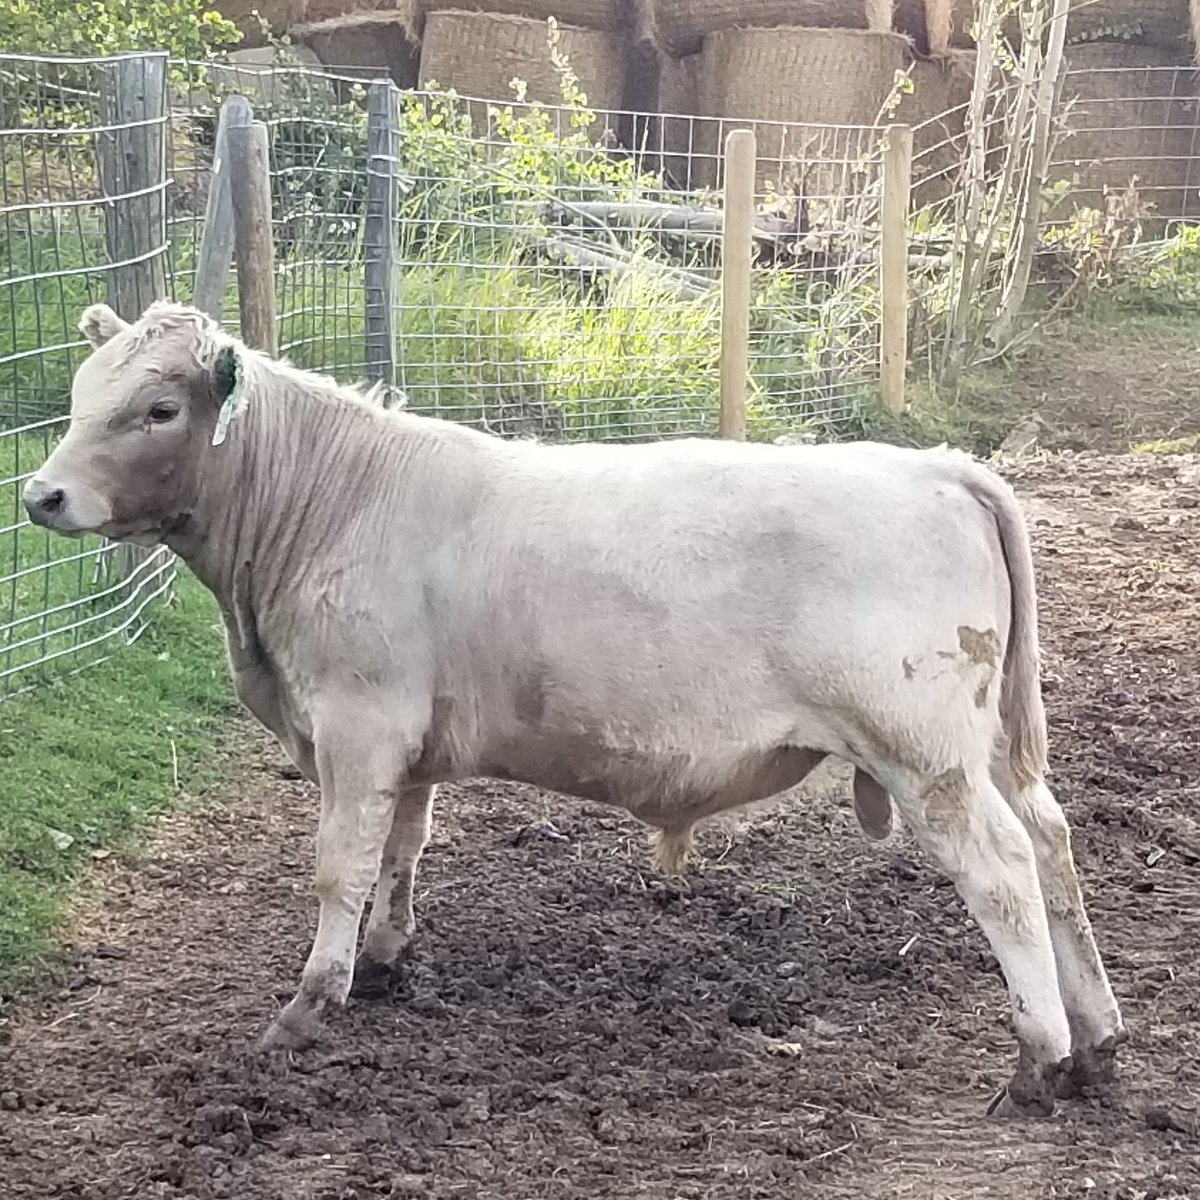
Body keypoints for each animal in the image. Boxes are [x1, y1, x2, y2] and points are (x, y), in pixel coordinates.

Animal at [23, 300, 1125, 1118]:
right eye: (81, 394)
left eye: (158, 408)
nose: (41, 496)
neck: (336, 500)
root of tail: (936, 463)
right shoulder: (407, 740)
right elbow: (401, 848)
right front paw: (383, 962)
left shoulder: (357, 721)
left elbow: (338, 864)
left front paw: (307, 1007)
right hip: (989, 748)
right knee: (1054, 844)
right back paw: (1097, 1042)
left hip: (926, 753)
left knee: (1004, 870)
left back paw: (1038, 1059)